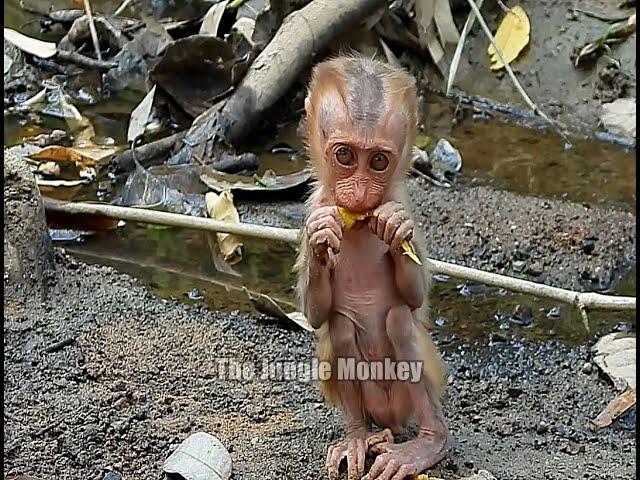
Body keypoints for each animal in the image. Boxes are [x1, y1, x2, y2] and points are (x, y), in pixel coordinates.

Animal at [298, 56, 448, 480]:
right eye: (346, 156)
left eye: (378, 161)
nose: (362, 192)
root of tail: (389, 421)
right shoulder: (314, 206)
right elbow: (317, 315)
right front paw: (320, 241)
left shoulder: (402, 201)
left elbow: (414, 300)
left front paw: (395, 230)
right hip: (369, 401)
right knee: (340, 327)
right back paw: (357, 437)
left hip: (403, 400)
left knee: (398, 320)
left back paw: (427, 443)